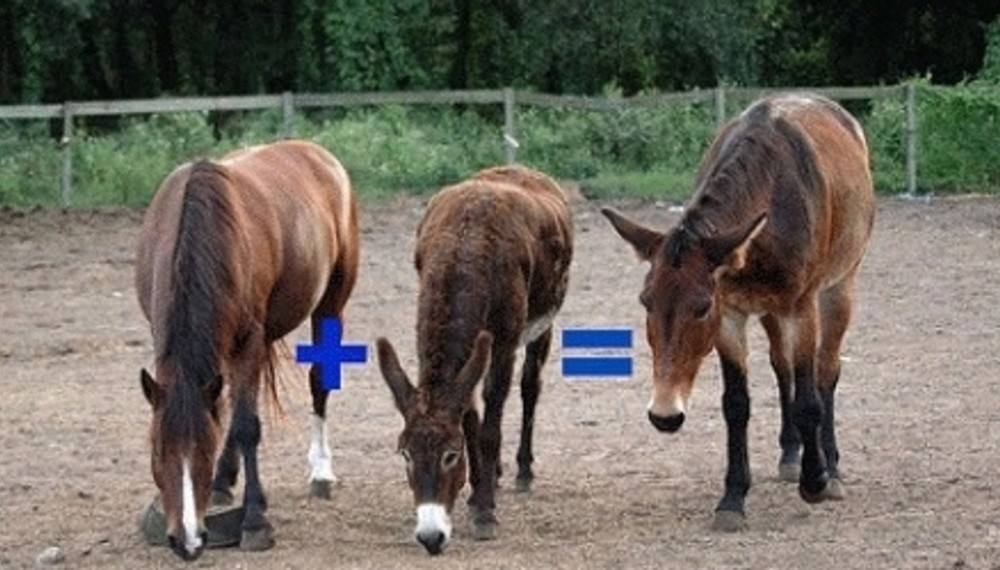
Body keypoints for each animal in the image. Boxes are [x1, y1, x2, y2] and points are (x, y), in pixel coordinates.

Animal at [135, 140, 358, 556]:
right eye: (157, 451)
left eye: (203, 452)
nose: (187, 541)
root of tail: (317, 153)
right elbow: (228, 411)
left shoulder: (248, 341)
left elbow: (245, 425)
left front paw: (255, 519)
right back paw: (226, 480)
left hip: (331, 301)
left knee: (319, 380)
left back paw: (321, 472)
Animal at [376, 163, 576, 552]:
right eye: (405, 454)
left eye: (450, 455)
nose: (430, 537)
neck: (465, 247)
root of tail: (520, 169)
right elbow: (471, 419)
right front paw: (476, 492)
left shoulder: (505, 342)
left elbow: (490, 427)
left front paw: (485, 513)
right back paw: (493, 474)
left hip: (544, 321)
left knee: (530, 386)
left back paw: (522, 471)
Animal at [600, 92, 876, 528]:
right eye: (646, 302)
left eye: (700, 308)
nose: (664, 414)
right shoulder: (731, 314)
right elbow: (736, 404)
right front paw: (732, 498)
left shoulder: (800, 307)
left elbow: (809, 400)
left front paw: (815, 482)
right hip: (769, 309)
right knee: (782, 368)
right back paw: (790, 454)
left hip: (839, 287)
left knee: (827, 370)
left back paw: (830, 468)